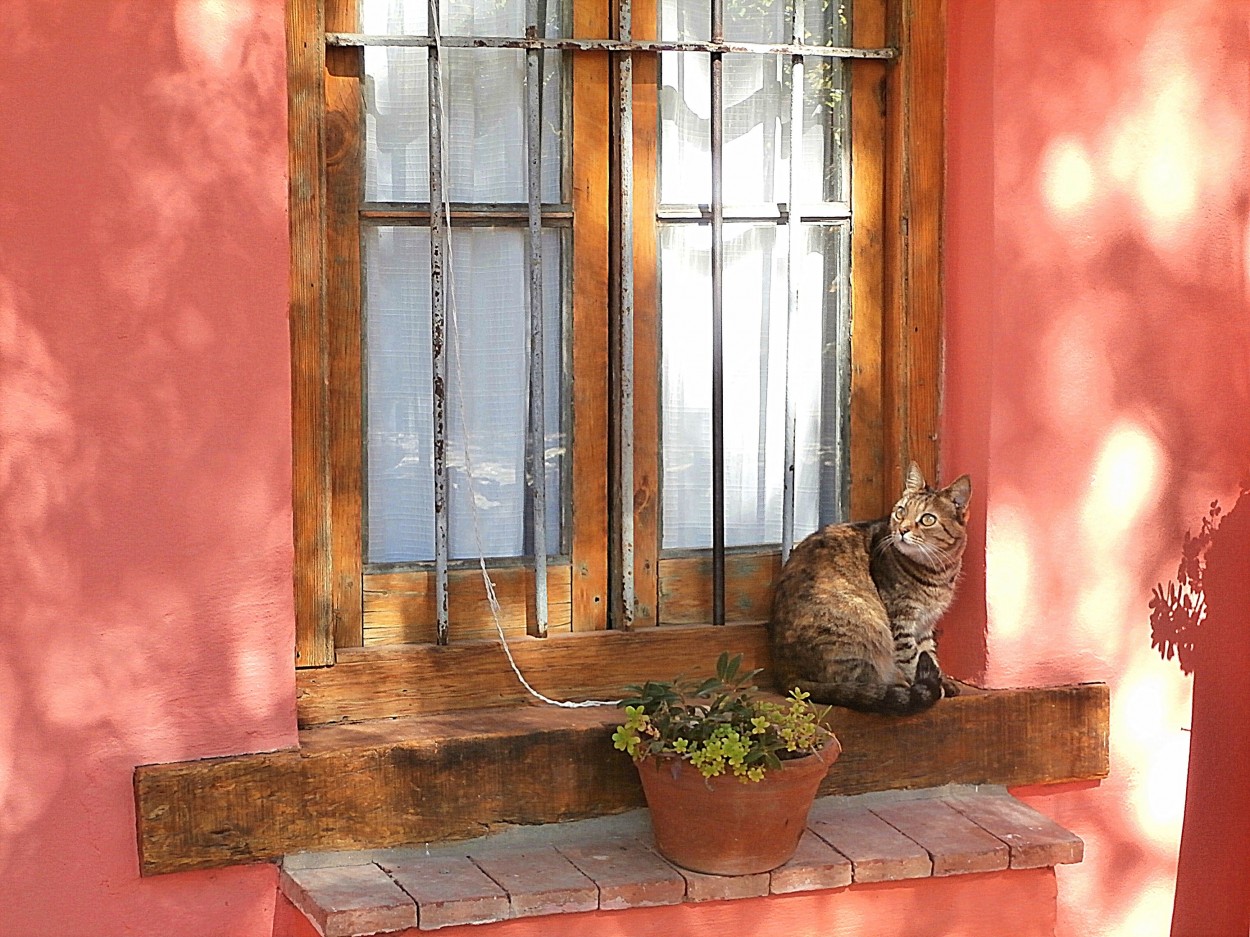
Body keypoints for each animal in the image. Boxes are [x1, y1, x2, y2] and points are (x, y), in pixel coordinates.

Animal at [765, 464, 970, 719]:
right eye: (901, 512)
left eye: (928, 519)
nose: (902, 530)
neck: (938, 572)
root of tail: (786, 673)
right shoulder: (901, 621)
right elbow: (912, 658)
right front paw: (931, 685)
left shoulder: (925, 624)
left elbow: (928, 654)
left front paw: (942, 680)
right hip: (866, 625)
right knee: (861, 682)